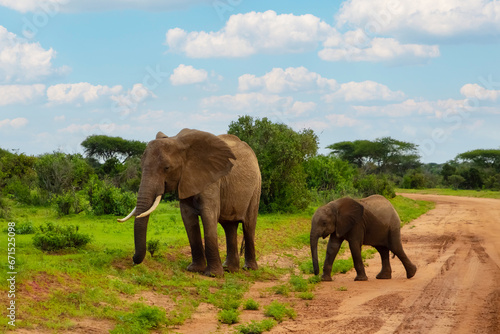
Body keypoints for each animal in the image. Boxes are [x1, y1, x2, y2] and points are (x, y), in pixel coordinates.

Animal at [118, 129, 262, 278]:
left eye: (167, 168)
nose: (133, 260)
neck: (178, 142)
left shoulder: (211, 180)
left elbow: (209, 216)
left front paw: (213, 275)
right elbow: (188, 219)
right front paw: (194, 269)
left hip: (256, 186)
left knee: (248, 225)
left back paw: (249, 269)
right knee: (229, 226)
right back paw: (230, 269)